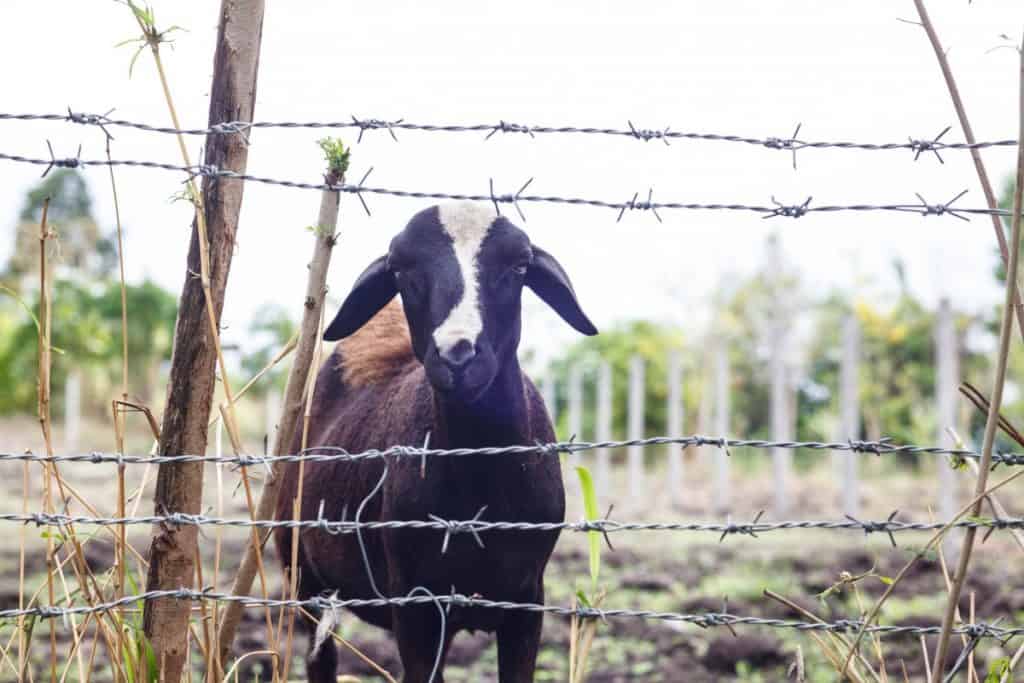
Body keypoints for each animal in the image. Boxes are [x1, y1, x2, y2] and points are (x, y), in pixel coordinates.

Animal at [275, 201, 597, 683]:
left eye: (519, 266)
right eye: (400, 269)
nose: (457, 355)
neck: (482, 482)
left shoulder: (526, 603)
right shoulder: (417, 607)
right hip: (303, 576)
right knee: (321, 658)